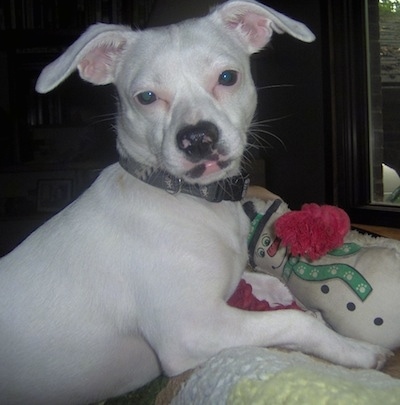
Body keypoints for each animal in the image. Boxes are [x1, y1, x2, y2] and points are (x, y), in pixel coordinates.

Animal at [0, 1, 392, 402]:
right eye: (146, 97)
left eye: (227, 77)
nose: (198, 138)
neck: (191, 199)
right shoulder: (191, 331)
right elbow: (293, 321)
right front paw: (355, 350)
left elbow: (268, 285)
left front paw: (292, 299)